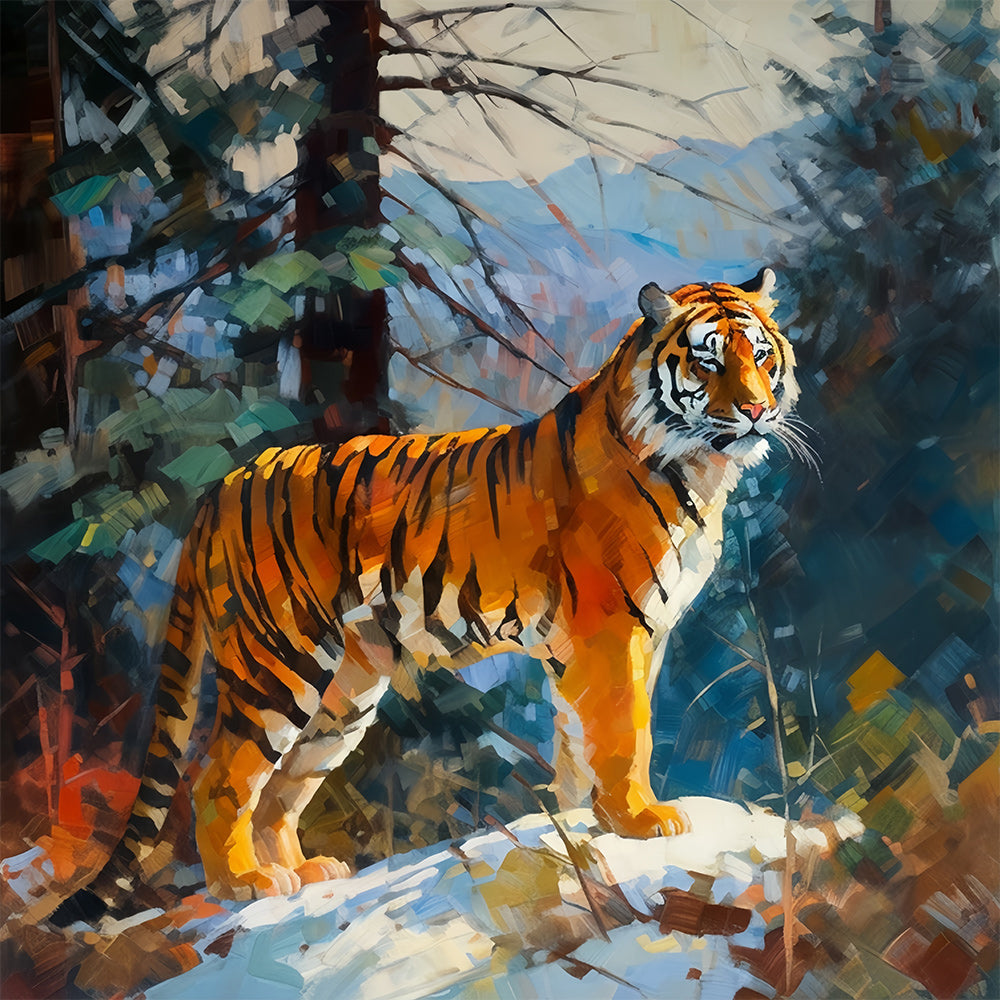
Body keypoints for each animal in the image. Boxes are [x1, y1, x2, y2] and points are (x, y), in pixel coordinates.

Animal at [54, 267, 798, 918]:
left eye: (763, 357)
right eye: (707, 362)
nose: (758, 410)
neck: (702, 468)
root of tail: (225, 484)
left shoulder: (619, 639)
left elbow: (577, 743)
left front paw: (580, 823)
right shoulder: (612, 630)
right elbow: (624, 731)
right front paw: (641, 820)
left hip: (343, 692)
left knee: (280, 790)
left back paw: (304, 874)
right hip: (276, 663)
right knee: (218, 782)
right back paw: (246, 885)